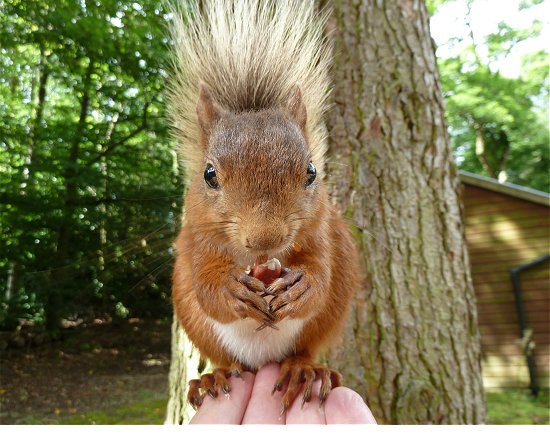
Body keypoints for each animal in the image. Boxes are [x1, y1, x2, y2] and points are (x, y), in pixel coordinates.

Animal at [168, 0, 360, 412]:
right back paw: (215, 376)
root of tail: (262, 360)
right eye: (209, 174)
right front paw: (230, 290)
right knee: (225, 357)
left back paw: (306, 371)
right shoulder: (196, 239)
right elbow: (207, 287)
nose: (265, 239)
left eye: (311, 171)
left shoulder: (321, 232)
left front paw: (303, 285)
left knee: (304, 348)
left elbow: (320, 273)